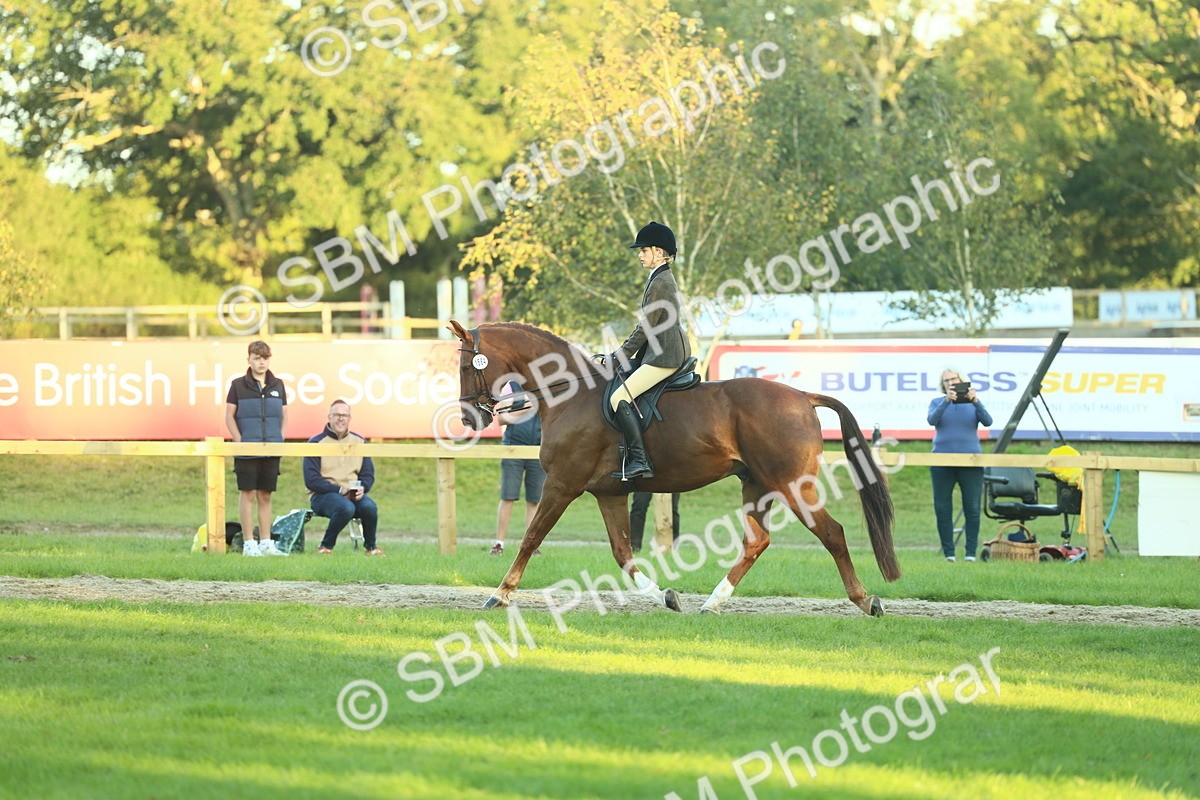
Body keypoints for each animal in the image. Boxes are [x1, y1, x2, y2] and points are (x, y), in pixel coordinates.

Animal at [449, 320, 901, 616]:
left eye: (468, 365)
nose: (470, 418)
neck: (570, 393)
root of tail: (803, 396)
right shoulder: (609, 493)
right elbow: (623, 554)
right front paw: (666, 596)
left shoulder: (562, 484)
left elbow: (530, 538)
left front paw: (500, 594)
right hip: (756, 485)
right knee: (756, 542)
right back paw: (713, 602)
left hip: (791, 485)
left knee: (832, 533)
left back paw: (865, 600)